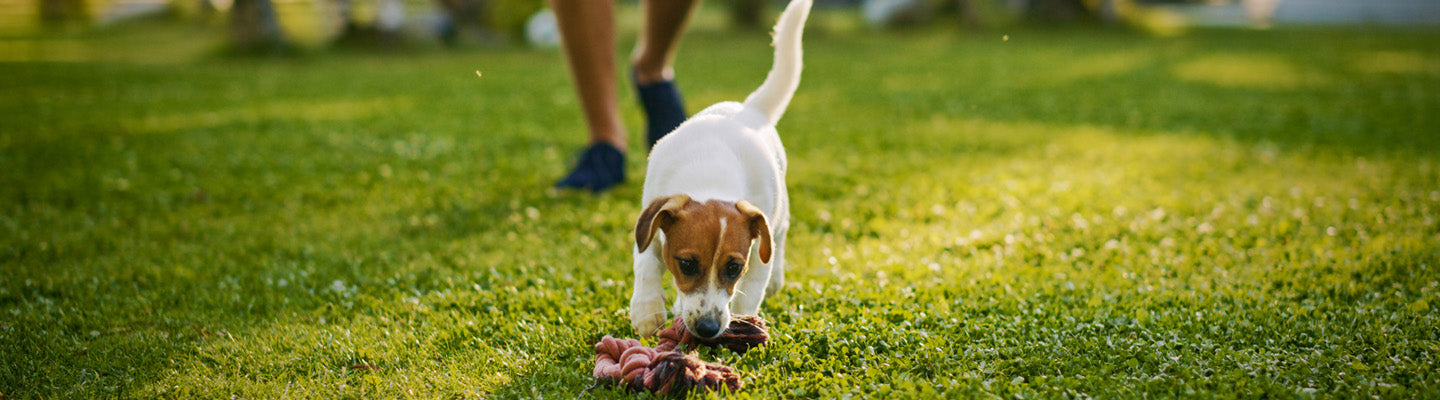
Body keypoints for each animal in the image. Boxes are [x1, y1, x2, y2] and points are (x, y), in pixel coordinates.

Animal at [630, 0, 812, 339]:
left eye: (733, 268)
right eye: (687, 264)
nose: (708, 328)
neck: (710, 177)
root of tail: (749, 108)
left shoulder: (757, 255)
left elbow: (749, 293)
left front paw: (744, 322)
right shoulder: (651, 225)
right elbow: (645, 263)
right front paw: (646, 312)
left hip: (778, 218)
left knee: (779, 239)